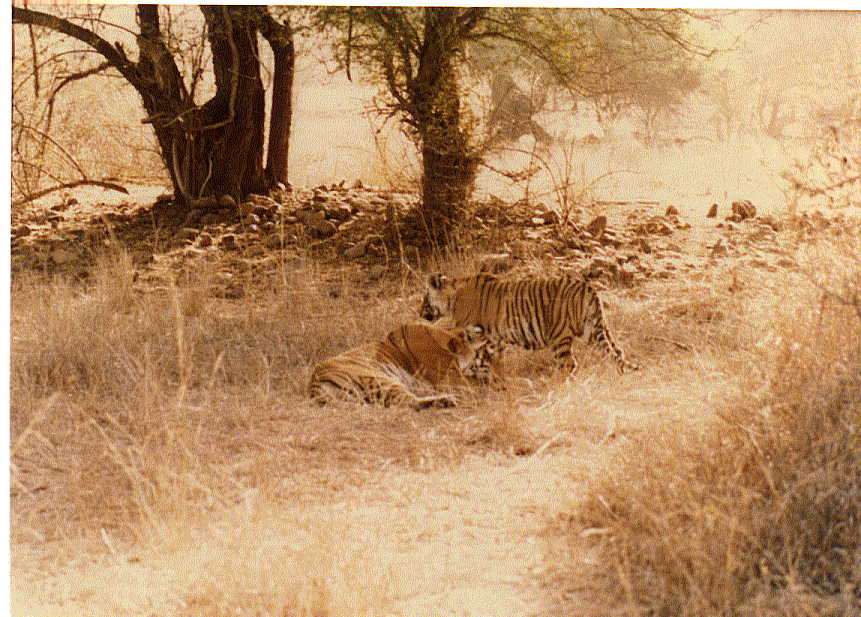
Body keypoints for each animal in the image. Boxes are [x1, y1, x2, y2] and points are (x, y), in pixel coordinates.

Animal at [308, 322, 494, 409]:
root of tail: (313, 385)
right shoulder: (450, 379)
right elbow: (478, 385)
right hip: (381, 379)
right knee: (408, 402)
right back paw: (447, 400)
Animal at [419, 272, 640, 375]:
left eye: (425, 298)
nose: (419, 313)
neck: (453, 297)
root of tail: (587, 286)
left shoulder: (476, 334)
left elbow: (474, 356)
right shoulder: (494, 338)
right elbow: (490, 358)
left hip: (559, 336)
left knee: (569, 364)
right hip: (592, 330)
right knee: (617, 351)